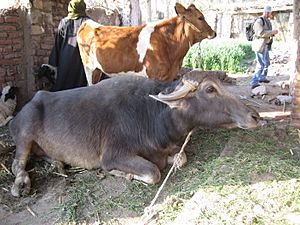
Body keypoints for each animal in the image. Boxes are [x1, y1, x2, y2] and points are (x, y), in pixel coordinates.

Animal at [8, 70, 258, 197]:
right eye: (210, 89)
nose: (254, 116)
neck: (153, 115)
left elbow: (181, 158)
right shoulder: (113, 155)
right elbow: (153, 172)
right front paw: (125, 174)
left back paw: (58, 164)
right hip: (24, 137)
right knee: (17, 164)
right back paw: (21, 184)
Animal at [77, 2, 217, 85]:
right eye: (200, 17)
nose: (214, 33)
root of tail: (89, 23)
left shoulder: (169, 76)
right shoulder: (154, 76)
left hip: (97, 70)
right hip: (88, 68)